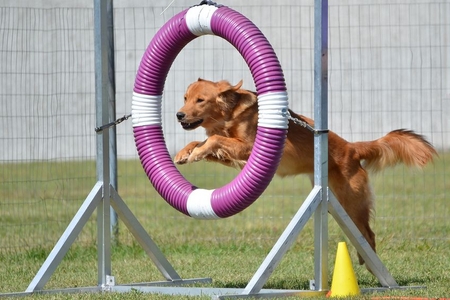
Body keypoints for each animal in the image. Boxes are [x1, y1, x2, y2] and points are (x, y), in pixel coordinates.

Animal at [174, 78, 438, 266]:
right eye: (185, 98)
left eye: (200, 100)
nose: (179, 114)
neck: (230, 114)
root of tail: (352, 148)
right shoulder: (236, 155)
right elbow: (204, 141)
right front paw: (184, 153)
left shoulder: (249, 147)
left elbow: (214, 139)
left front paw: (196, 152)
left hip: (352, 203)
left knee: (369, 234)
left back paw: (370, 265)